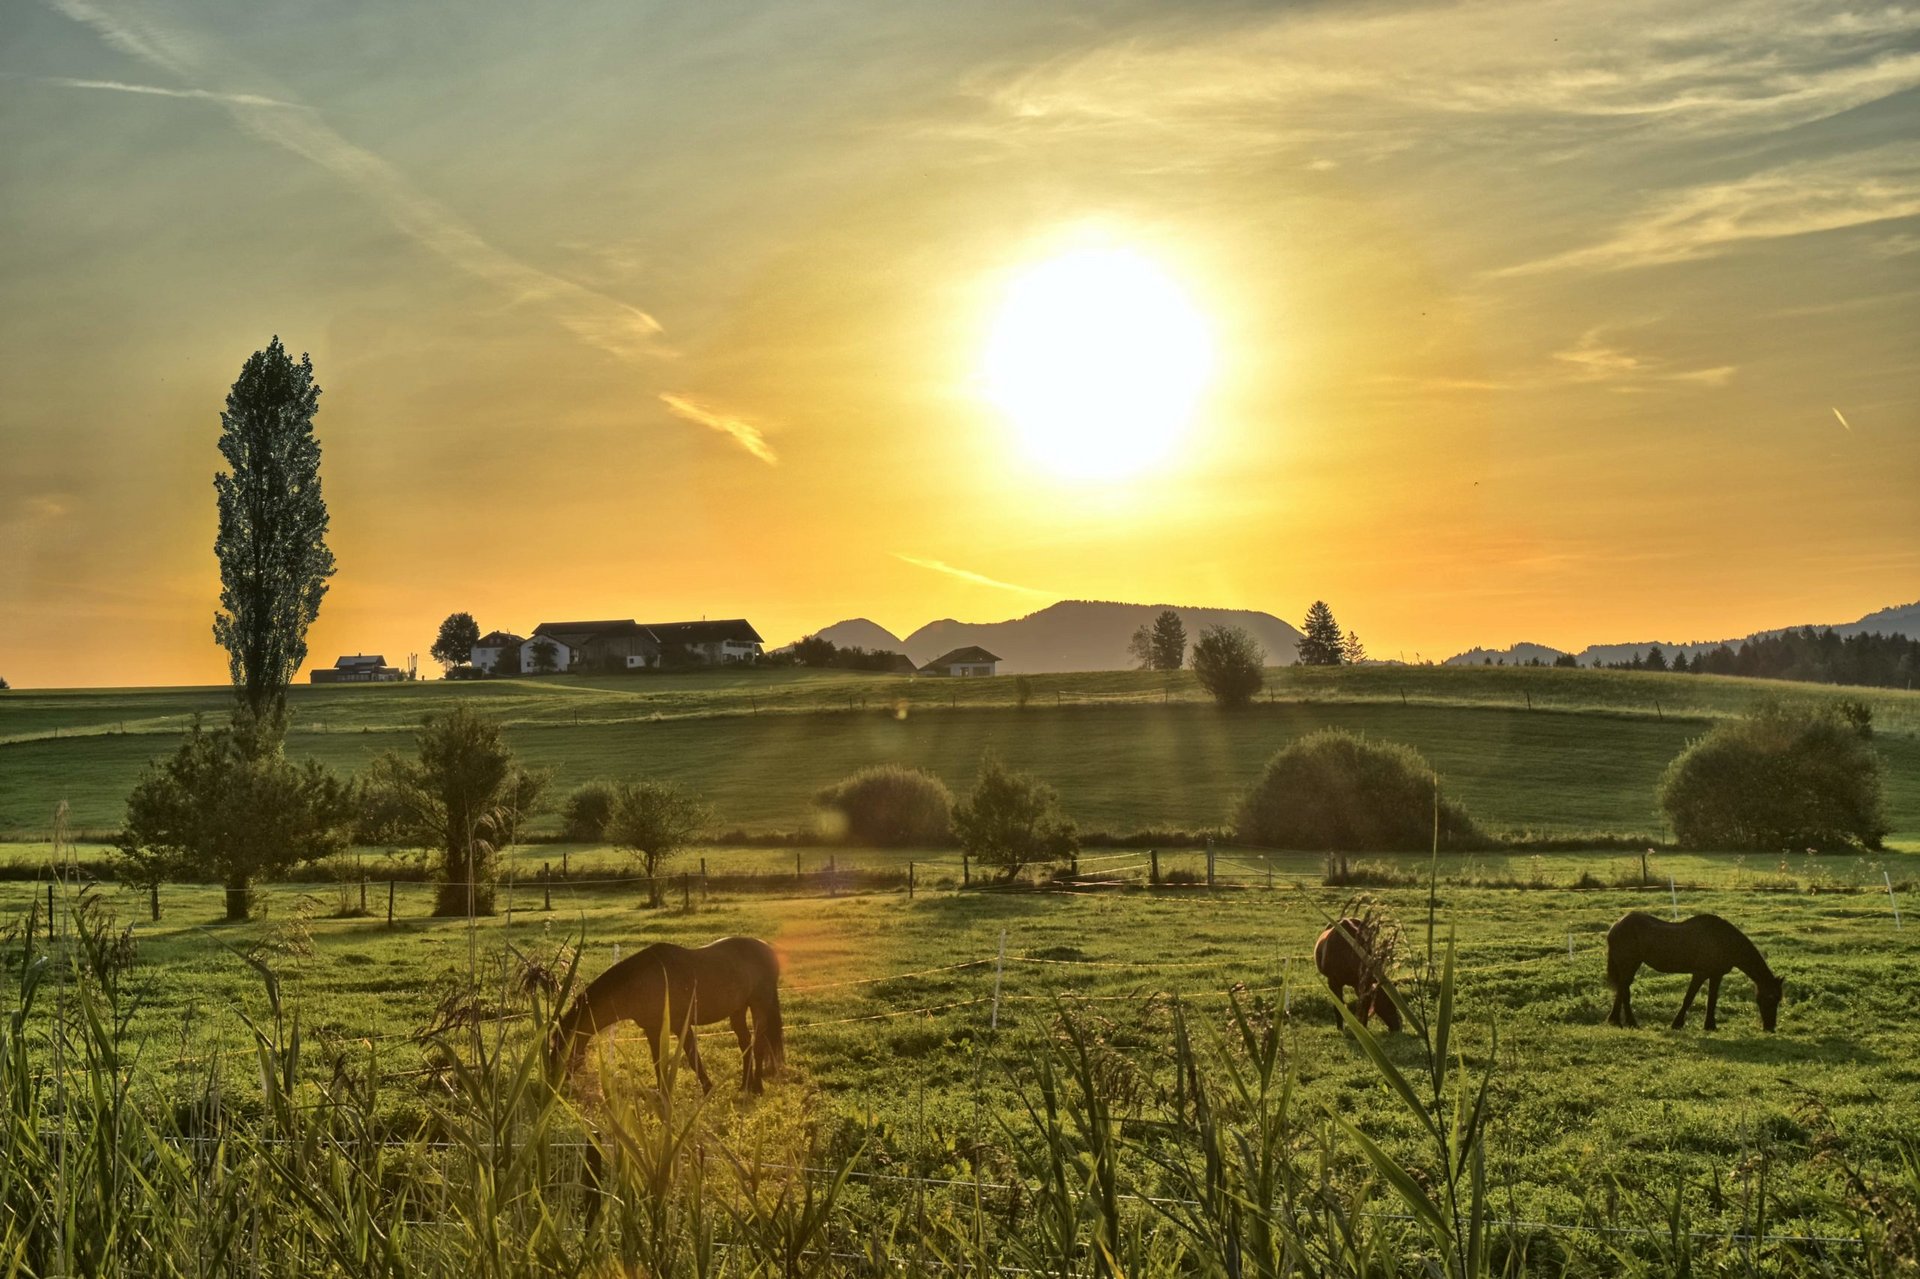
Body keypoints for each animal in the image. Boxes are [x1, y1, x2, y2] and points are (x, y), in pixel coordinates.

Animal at [552, 937, 783, 1083]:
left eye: (561, 1045)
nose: (555, 1084)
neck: (644, 982)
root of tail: (768, 949)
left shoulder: (681, 1025)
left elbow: (693, 1058)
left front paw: (707, 1089)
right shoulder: (653, 1030)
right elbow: (659, 1064)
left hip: (759, 1005)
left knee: (759, 1043)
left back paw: (757, 1087)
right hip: (737, 1010)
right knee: (746, 1043)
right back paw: (744, 1086)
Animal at [1605, 910, 1781, 1029]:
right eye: (1770, 997)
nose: (1770, 1028)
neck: (1722, 940)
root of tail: (1616, 925)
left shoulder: (1716, 975)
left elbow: (1712, 1000)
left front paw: (1710, 1026)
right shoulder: (1700, 974)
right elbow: (1688, 998)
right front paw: (1677, 1023)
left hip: (1629, 966)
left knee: (1622, 989)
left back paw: (1616, 1020)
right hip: (1629, 965)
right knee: (1624, 990)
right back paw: (1630, 1022)